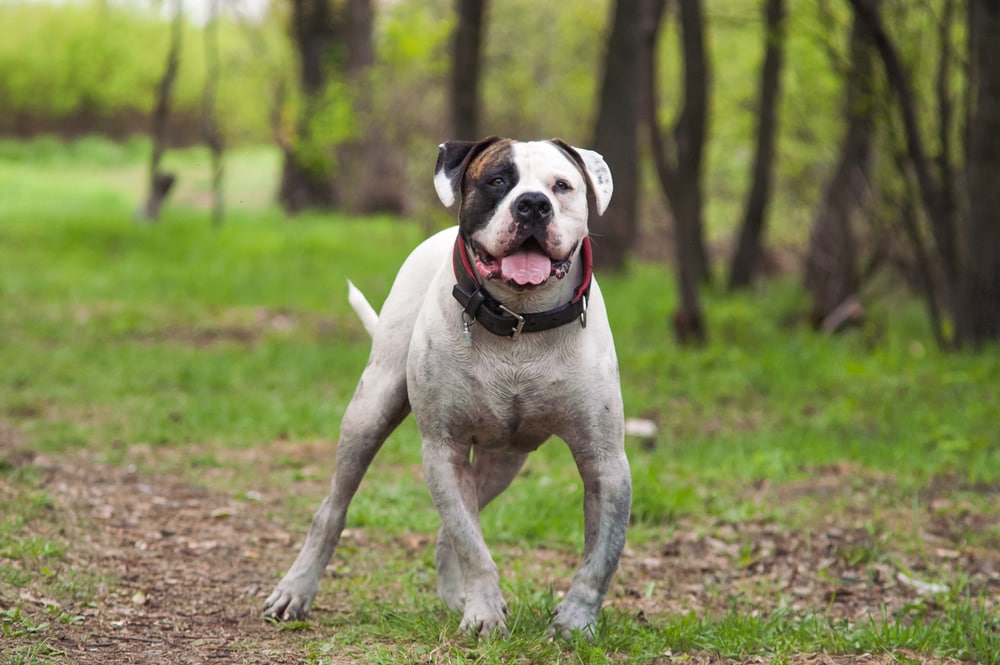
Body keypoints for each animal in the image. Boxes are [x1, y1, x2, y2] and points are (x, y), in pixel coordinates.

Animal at [262, 136, 628, 640]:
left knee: (455, 524)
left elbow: (600, 558)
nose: (533, 204)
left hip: (504, 460)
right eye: (498, 180)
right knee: (335, 509)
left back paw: (457, 595)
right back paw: (297, 588)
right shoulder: (443, 449)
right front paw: (484, 614)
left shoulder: (606, 462)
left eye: (561, 186)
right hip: (370, 411)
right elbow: (472, 544)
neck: (520, 320)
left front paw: (574, 623)